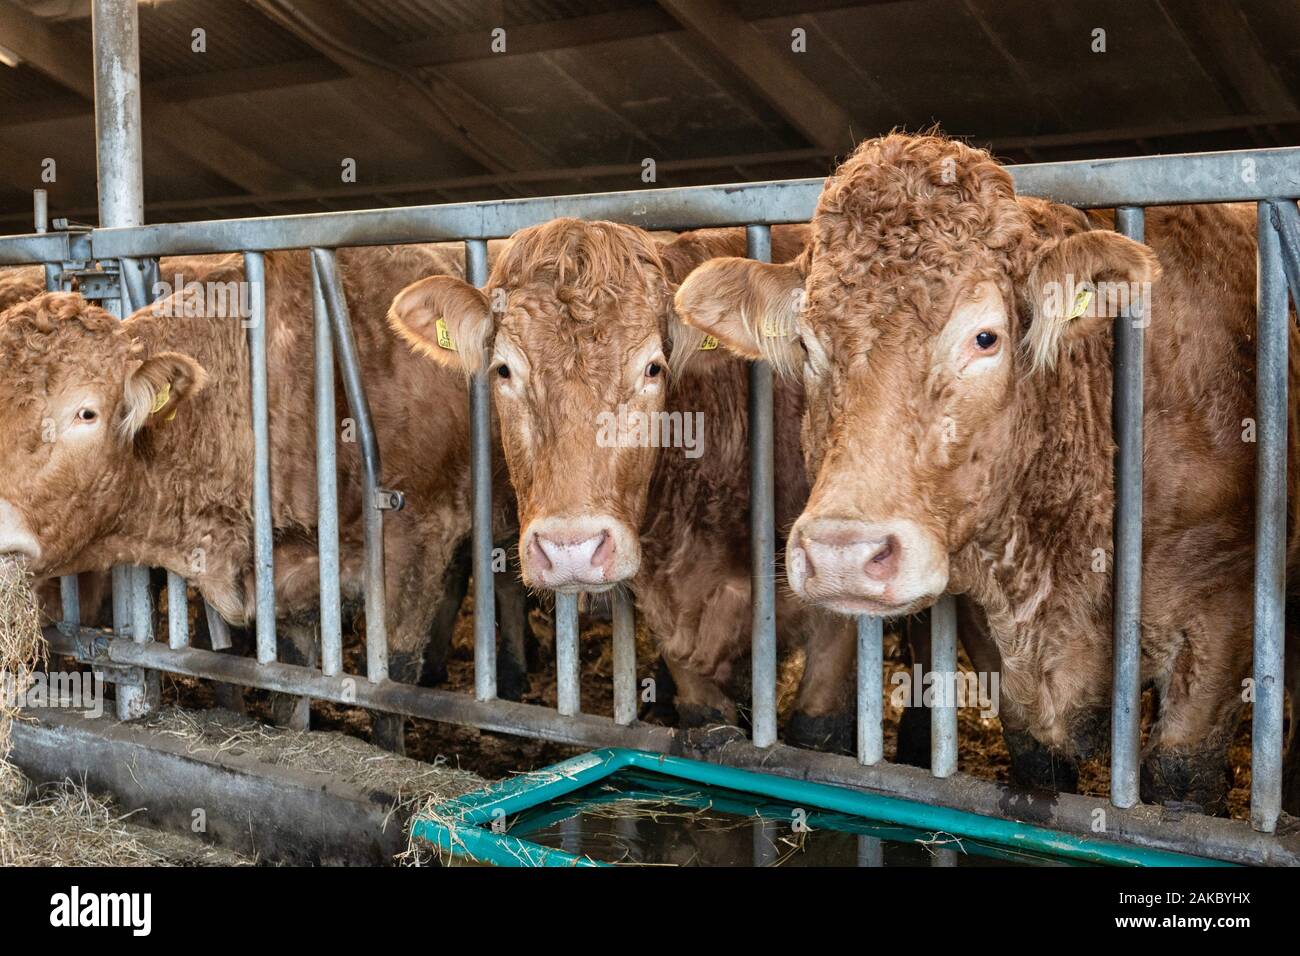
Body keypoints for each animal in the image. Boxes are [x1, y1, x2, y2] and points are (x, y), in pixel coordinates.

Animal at [676, 130, 1294, 811]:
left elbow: (1185, 776)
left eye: (985, 338)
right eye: (808, 346)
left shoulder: (1219, 616)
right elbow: (1036, 768)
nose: (843, 553)